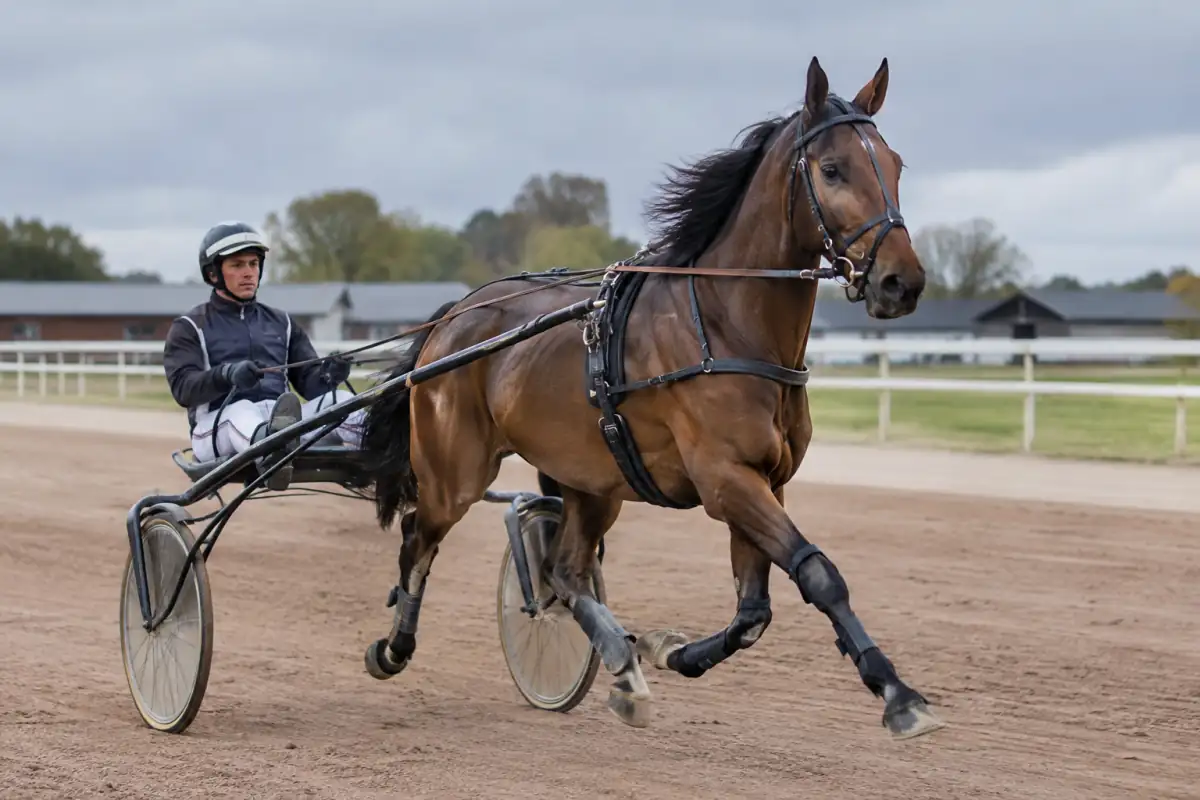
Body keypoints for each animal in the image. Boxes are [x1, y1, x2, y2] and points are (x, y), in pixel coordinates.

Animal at [358, 56, 945, 741]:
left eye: (896, 164)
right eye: (832, 168)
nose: (902, 282)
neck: (725, 324)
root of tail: (454, 317)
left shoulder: (764, 481)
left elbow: (753, 612)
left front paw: (669, 651)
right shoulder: (725, 479)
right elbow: (819, 573)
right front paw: (899, 694)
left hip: (590, 478)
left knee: (564, 569)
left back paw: (622, 663)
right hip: (457, 471)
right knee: (418, 536)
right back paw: (392, 647)